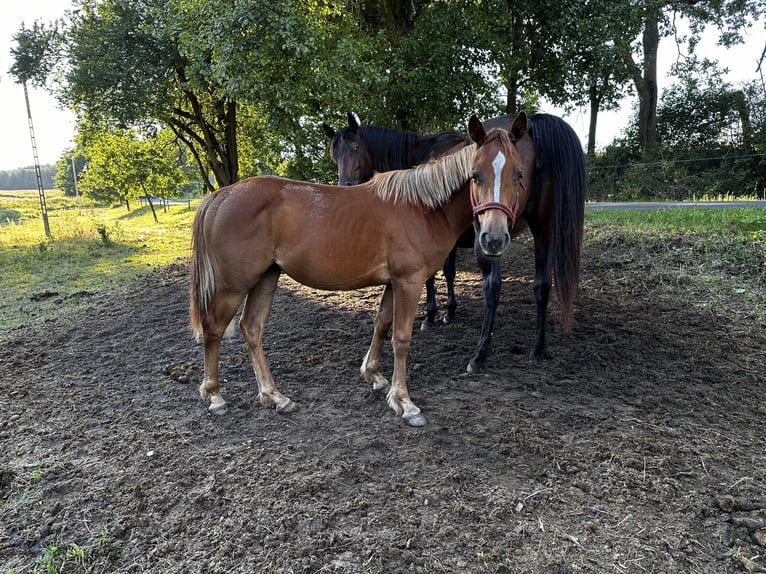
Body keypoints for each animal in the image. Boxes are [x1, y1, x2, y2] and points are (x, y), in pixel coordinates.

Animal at [189, 115, 532, 428]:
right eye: (475, 175)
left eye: (518, 174)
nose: (493, 238)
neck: (422, 208)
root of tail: (220, 196)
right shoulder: (408, 282)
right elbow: (401, 338)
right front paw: (404, 402)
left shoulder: (394, 283)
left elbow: (381, 324)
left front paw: (375, 376)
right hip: (234, 286)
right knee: (213, 328)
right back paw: (215, 396)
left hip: (265, 278)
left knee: (251, 329)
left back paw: (275, 396)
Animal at [320, 112, 584, 374]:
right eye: (335, 155)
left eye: (355, 148)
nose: (345, 186)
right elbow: (449, 272)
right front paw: (450, 311)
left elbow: (434, 276)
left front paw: (431, 315)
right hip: (542, 231)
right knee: (542, 285)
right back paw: (539, 346)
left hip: (491, 239)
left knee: (492, 286)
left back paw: (480, 354)